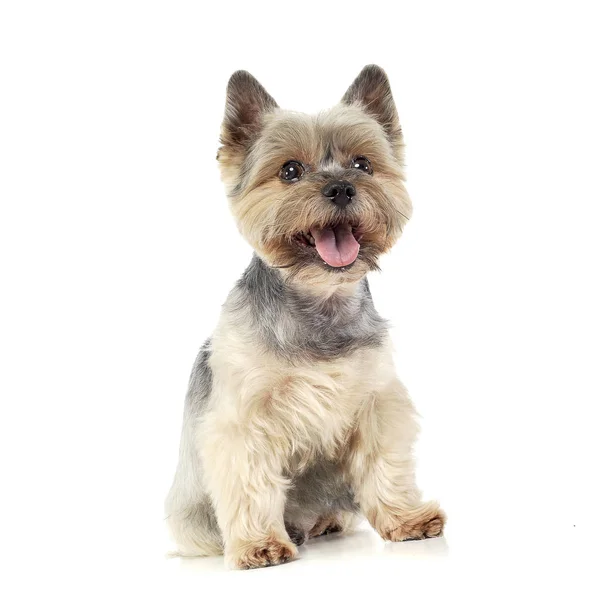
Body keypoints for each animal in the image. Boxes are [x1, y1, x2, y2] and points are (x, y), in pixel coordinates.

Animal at [164, 64, 446, 568]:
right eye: (290, 171)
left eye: (363, 164)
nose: (341, 187)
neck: (320, 302)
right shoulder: (244, 420)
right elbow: (250, 482)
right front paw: (260, 544)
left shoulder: (376, 403)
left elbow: (385, 464)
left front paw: (405, 518)